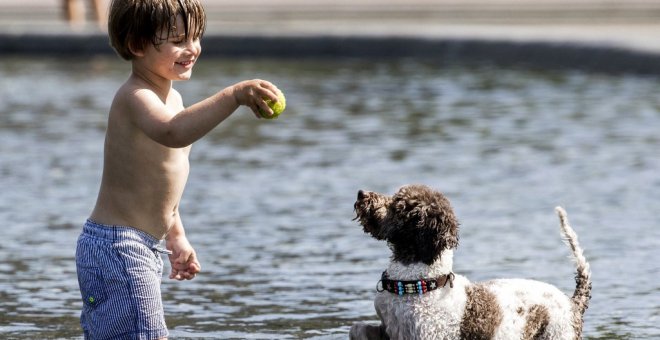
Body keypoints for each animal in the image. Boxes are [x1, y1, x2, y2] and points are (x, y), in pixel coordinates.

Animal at [350, 186, 592, 340]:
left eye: (397, 206)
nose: (361, 194)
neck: (419, 283)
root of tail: (573, 302)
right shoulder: (389, 330)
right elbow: (356, 328)